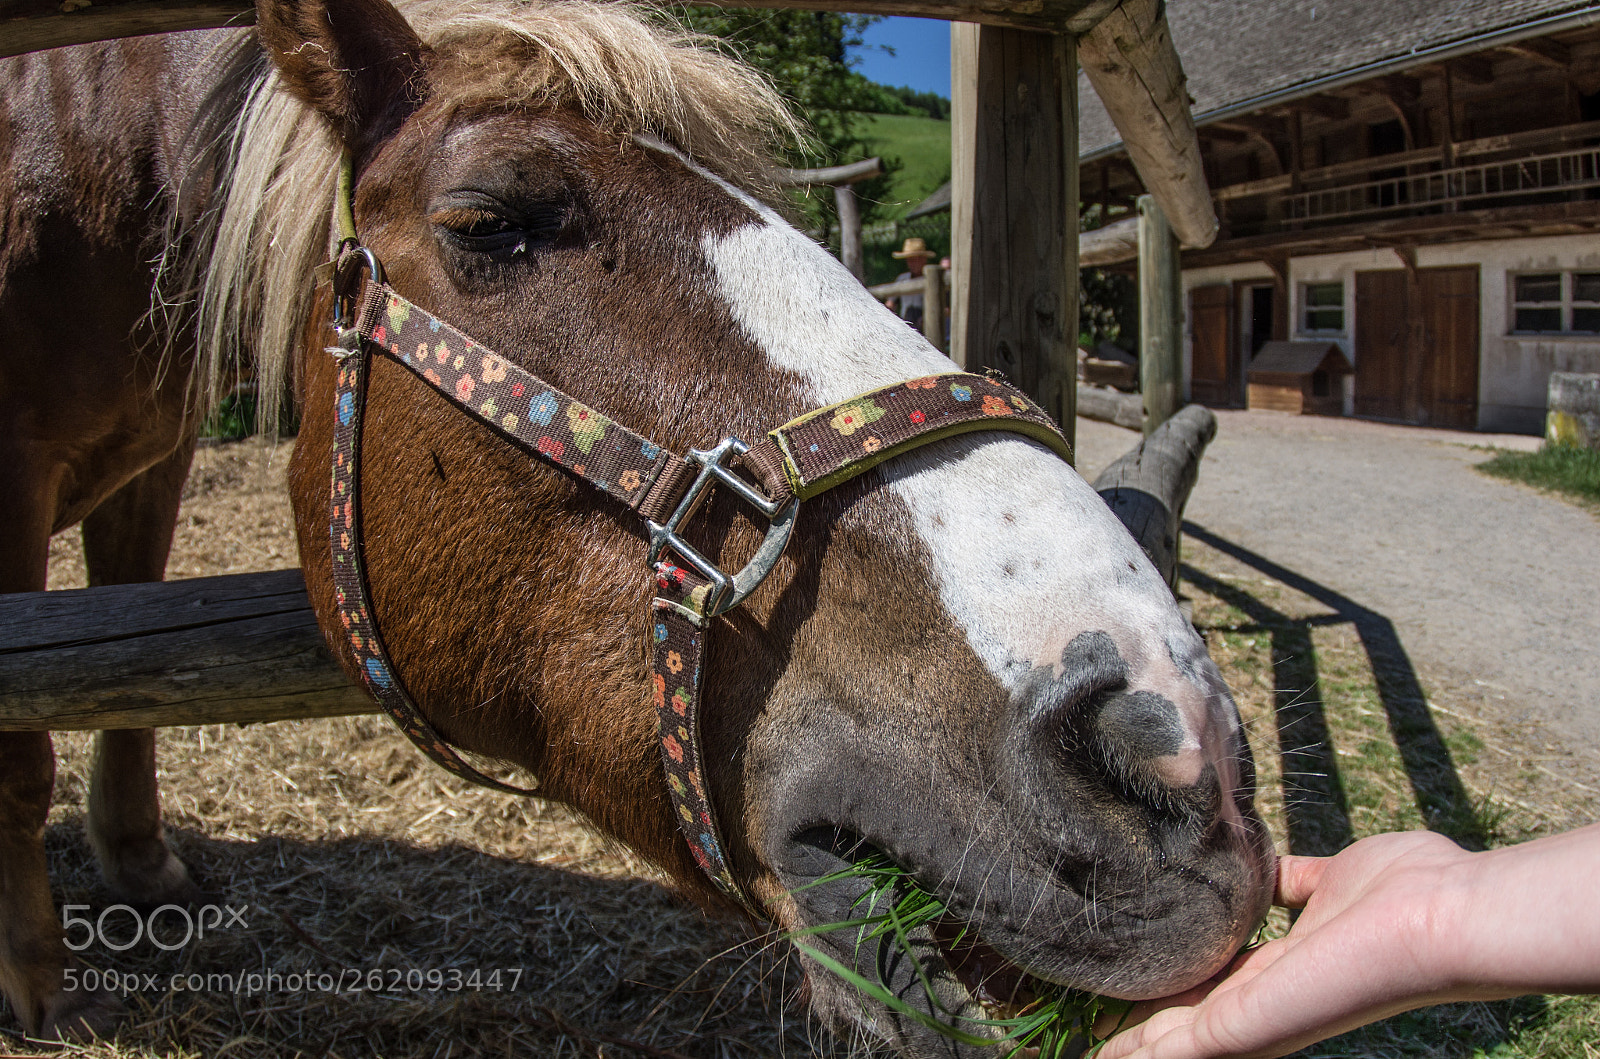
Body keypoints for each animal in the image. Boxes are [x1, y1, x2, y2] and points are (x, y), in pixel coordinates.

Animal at [0, 0, 1276, 1052]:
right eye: (491, 220)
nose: (1173, 749)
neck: (93, 163)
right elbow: (30, 730)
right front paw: (41, 984)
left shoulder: (154, 464)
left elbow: (119, 686)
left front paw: (139, 866)